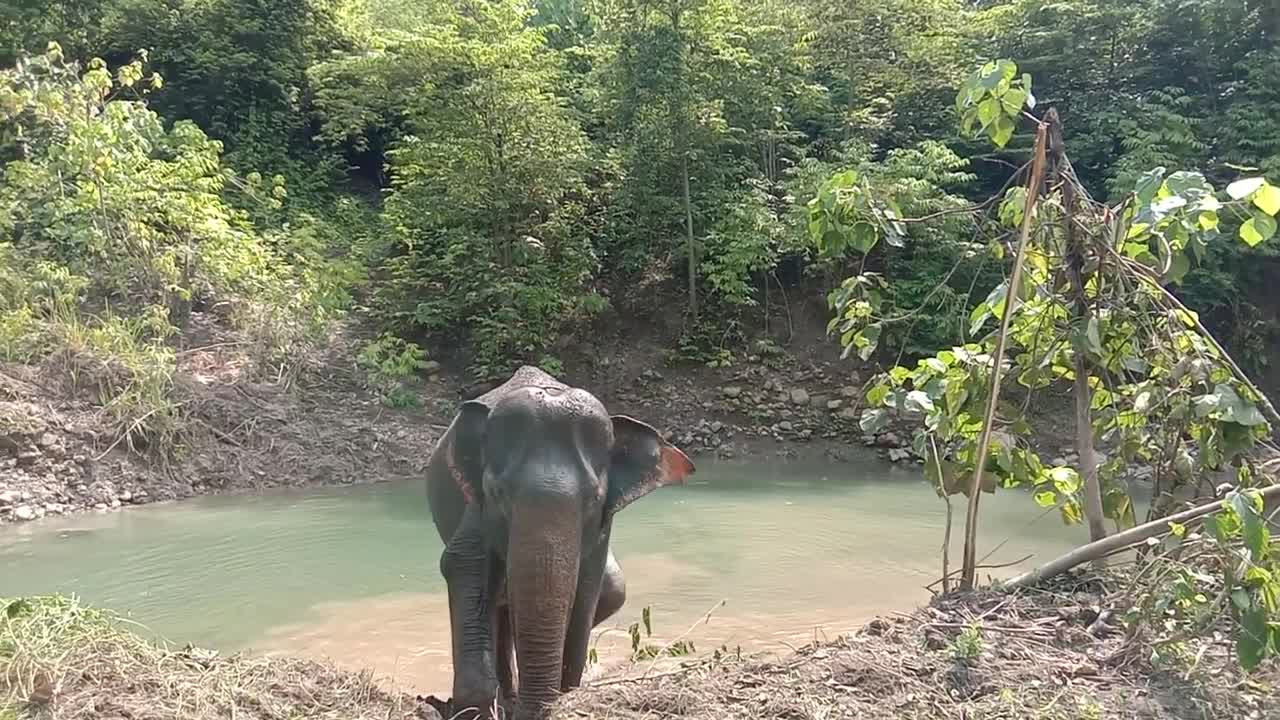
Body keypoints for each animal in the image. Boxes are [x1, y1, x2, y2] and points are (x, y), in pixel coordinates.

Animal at [424, 363, 696, 717]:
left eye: (594, 499)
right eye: (498, 493)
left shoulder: (602, 528)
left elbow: (585, 590)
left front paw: (564, 694)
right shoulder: (477, 507)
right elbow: (464, 562)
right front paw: (476, 707)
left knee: (611, 589)